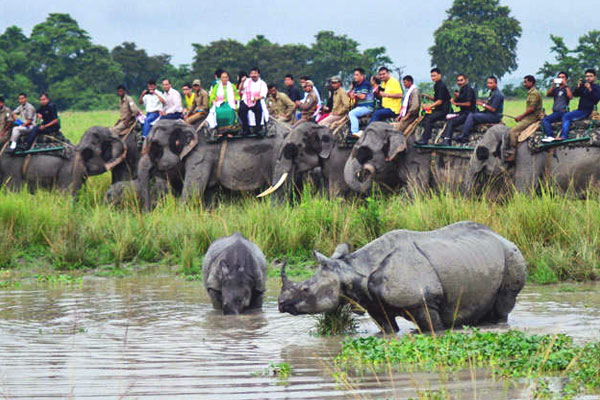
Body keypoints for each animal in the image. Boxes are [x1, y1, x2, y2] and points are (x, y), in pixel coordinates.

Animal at [139, 118, 292, 209]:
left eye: (154, 147)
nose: (149, 212)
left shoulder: (200, 157)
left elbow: (193, 191)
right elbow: (208, 192)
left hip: (279, 155)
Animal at [278, 220, 524, 332]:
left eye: (305, 289)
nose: (281, 304)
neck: (351, 270)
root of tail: (502, 237)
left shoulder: (423, 301)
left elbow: (434, 329)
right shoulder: (374, 304)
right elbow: (389, 329)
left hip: (512, 255)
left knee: (504, 305)